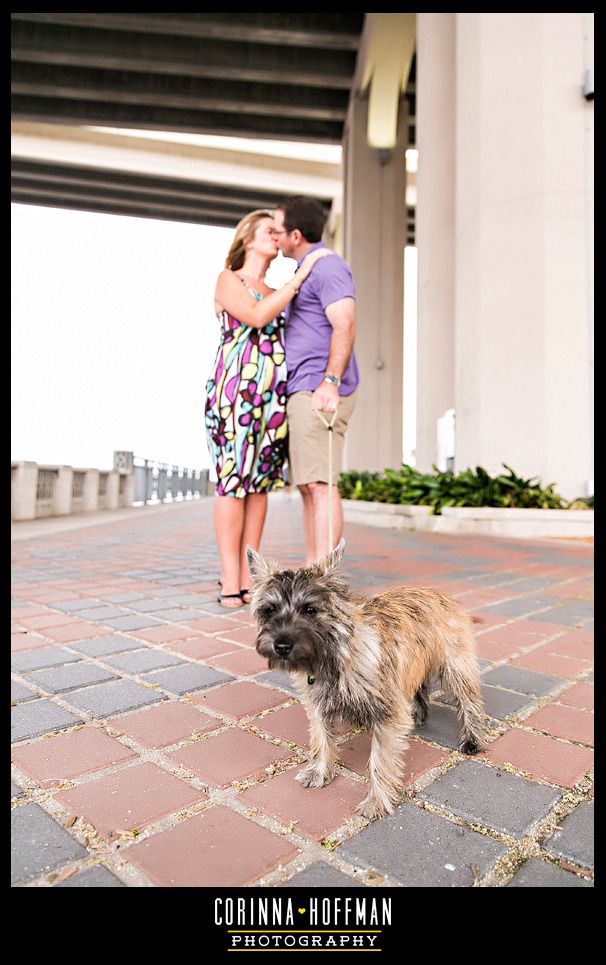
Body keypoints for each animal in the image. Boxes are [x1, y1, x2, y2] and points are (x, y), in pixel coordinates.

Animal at [247, 540, 490, 816]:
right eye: (269, 610)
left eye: (310, 609)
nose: (281, 645)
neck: (336, 655)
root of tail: (440, 594)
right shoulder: (319, 707)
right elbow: (322, 740)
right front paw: (319, 772)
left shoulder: (387, 716)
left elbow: (379, 761)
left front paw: (376, 800)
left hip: (455, 668)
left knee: (470, 702)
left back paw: (472, 739)